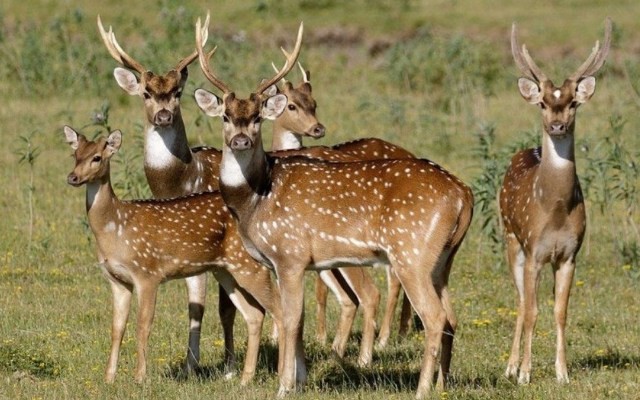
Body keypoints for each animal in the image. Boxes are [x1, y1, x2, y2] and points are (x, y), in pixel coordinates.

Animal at [264, 66, 416, 350]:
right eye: (291, 105)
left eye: (314, 103)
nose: (317, 128)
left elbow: (318, 289)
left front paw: (320, 337)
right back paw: (401, 331)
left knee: (395, 277)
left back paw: (384, 338)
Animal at [500, 18, 608, 384]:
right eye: (543, 104)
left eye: (573, 103)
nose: (557, 125)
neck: (556, 210)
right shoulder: (534, 250)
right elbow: (532, 311)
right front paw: (524, 373)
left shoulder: (569, 254)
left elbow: (560, 311)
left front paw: (562, 373)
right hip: (511, 239)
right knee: (520, 302)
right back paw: (510, 366)